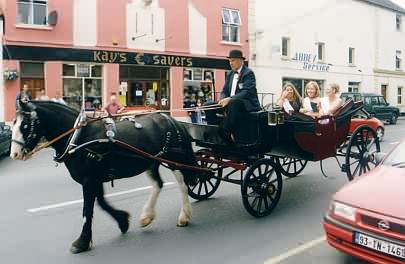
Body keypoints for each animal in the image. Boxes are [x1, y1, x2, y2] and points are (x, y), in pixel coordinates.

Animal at [9, 100, 199, 253]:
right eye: (13, 124)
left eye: (25, 125)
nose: (14, 154)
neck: (79, 138)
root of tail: (172, 120)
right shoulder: (94, 178)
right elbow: (101, 202)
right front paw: (122, 221)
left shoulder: (89, 180)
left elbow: (87, 210)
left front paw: (82, 242)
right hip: (151, 162)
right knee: (158, 184)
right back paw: (147, 216)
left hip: (174, 161)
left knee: (182, 185)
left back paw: (184, 216)